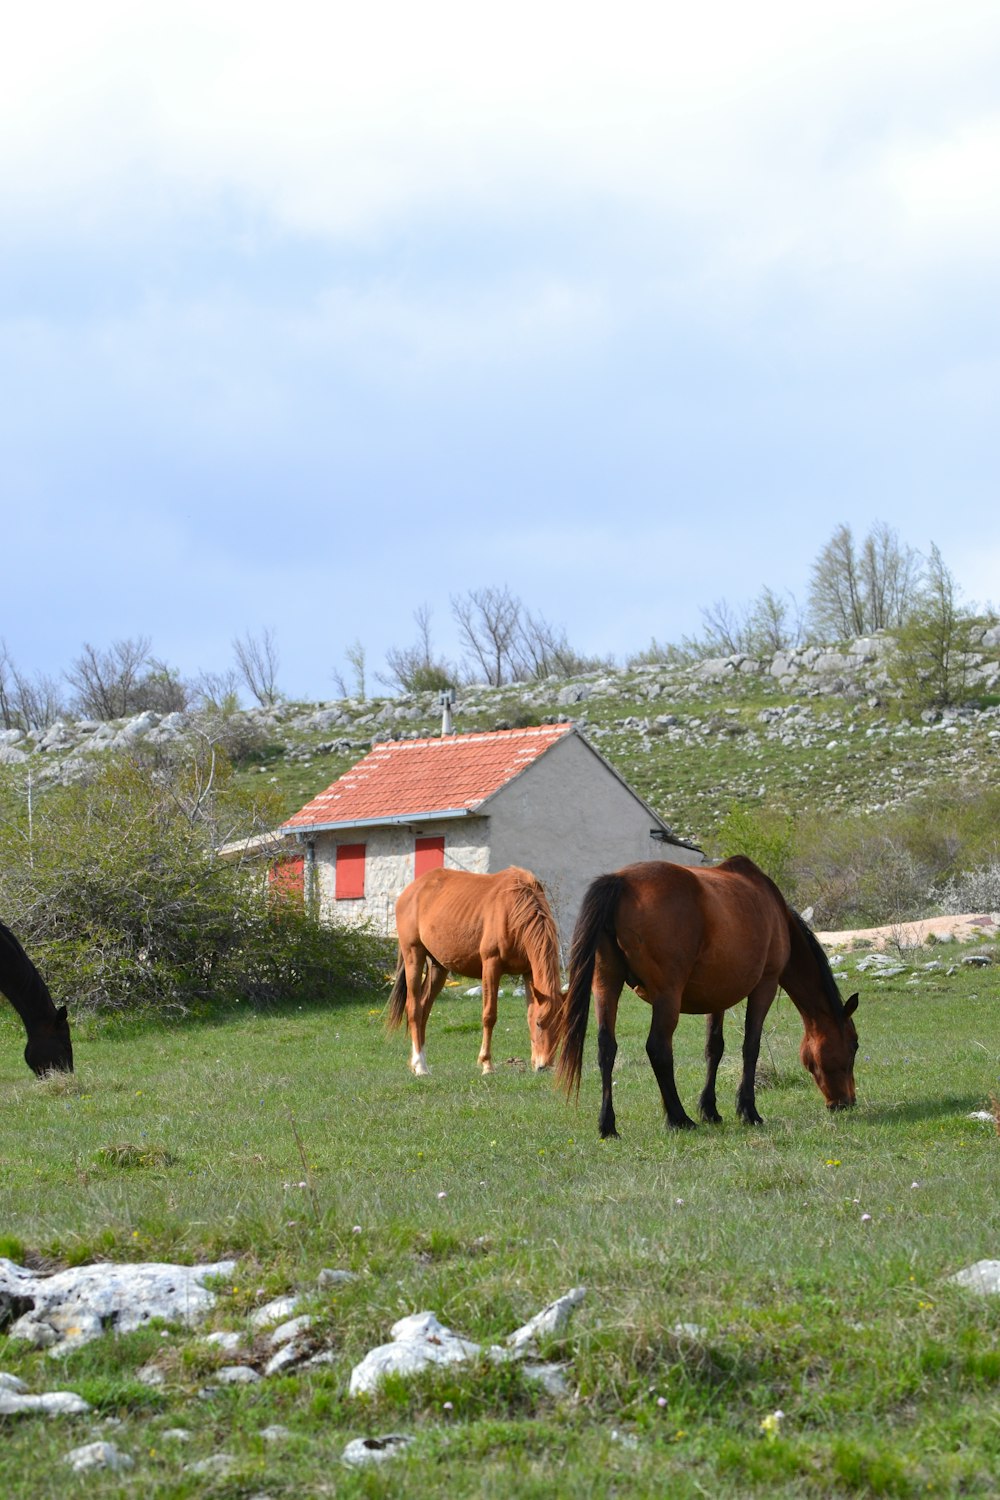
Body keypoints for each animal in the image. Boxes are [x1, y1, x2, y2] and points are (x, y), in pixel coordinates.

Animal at [389, 870, 563, 1080]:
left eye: (561, 1026)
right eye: (540, 1023)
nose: (544, 1065)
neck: (514, 909)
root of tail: (411, 890)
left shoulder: (528, 972)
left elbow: (529, 1011)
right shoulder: (491, 965)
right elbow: (489, 1015)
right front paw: (487, 1064)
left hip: (438, 968)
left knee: (423, 1008)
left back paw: (418, 1062)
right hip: (413, 955)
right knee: (414, 1008)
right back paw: (421, 1067)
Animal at [560, 858, 857, 1134]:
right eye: (854, 1044)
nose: (848, 1102)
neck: (776, 912)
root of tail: (620, 881)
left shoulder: (717, 996)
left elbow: (714, 1048)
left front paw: (710, 1109)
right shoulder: (766, 985)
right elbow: (751, 1047)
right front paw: (748, 1110)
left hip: (606, 985)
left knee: (606, 1047)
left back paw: (608, 1125)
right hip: (667, 996)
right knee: (658, 1048)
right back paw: (678, 1118)